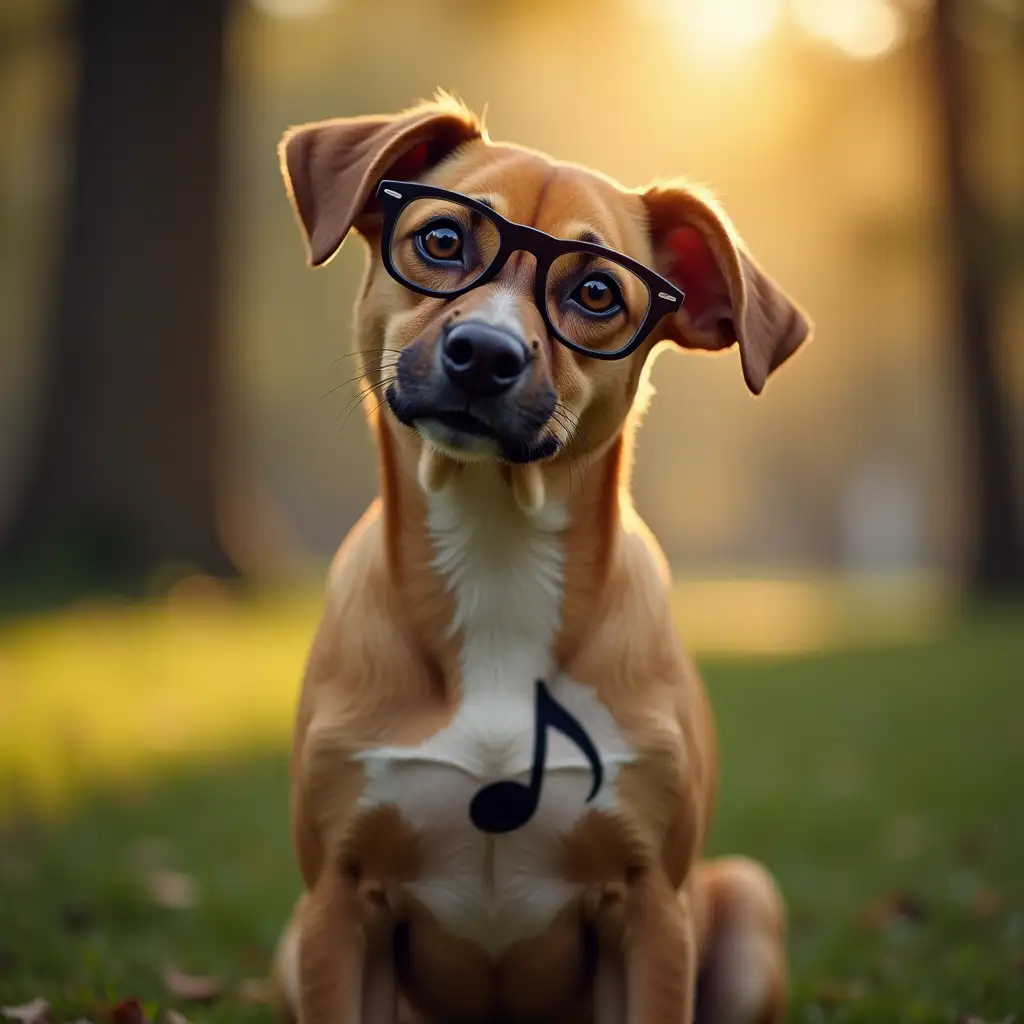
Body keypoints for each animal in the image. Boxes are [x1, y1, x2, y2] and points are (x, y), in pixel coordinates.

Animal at [270, 94, 806, 1024]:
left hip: (746, 901)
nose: (486, 353)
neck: (497, 556)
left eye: (595, 292)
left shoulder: (652, 909)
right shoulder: (337, 902)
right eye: (442, 239)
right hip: (293, 942)